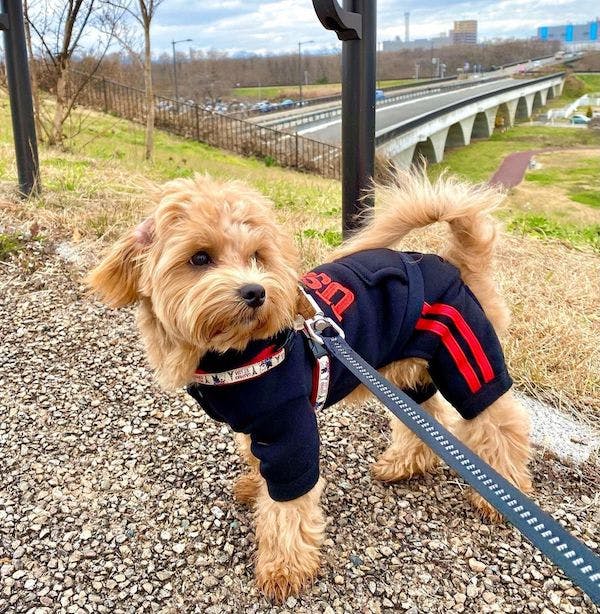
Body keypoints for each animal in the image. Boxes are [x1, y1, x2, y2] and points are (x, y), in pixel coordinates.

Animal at [85, 171, 528, 604]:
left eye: (257, 256)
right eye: (199, 258)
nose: (256, 291)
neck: (233, 353)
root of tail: (453, 263)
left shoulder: (289, 427)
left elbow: (289, 502)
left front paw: (283, 569)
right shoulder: (257, 423)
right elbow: (256, 460)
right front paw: (255, 485)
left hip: (466, 359)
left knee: (499, 424)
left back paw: (500, 494)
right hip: (405, 371)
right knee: (428, 417)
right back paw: (403, 464)